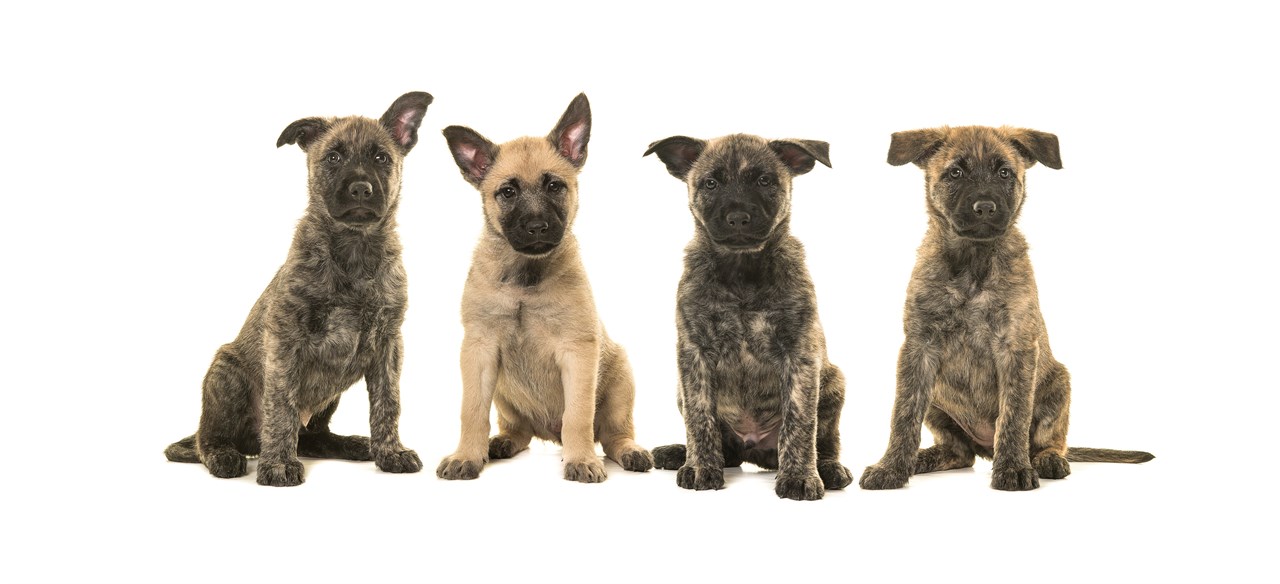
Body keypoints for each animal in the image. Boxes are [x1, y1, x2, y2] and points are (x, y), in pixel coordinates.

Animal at [165, 90, 430, 484]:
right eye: (333, 157)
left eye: (381, 157)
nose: (360, 189)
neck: (353, 249)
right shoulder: (285, 339)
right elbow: (281, 406)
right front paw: (277, 464)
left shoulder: (388, 344)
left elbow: (388, 402)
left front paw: (390, 452)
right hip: (225, 373)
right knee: (208, 438)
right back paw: (224, 455)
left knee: (312, 436)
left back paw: (351, 444)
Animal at [437, 92, 655, 484]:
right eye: (507, 192)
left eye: (555, 186)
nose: (537, 227)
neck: (525, 279)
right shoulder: (479, 351)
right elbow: (472, 412)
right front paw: (466, 456)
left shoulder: (578, 353)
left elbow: (579, 416)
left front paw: (581, 460)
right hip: (504, 392)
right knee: (518, 430)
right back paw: (500, 443)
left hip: (620, 383)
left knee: (612, 433)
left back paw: (628, 451)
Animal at [645, 133, 855, 502]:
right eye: (711, 183)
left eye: (765, 181)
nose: (738, 217)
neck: (741, 270)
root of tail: (753, 450)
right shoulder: (694, 353)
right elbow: (700, 419)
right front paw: (700, 468)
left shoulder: (800, 353)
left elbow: (799, 422)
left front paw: (799, 477)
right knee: (721, 447)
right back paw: (678, 453)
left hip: (833, 382)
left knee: (826, 442)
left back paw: (830, 469)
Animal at [860, 125, 1152, 489]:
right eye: (955, 173)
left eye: (1004, 173)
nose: (985, 207)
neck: (973, 260)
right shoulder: (918, 348)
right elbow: (904, 414)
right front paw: (890, 467)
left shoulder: (1016, 346)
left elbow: (1013, 415)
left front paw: (1013, 468)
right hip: (938, 401)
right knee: (959, 452)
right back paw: (922, 459)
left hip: (1059, 385)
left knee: (1049, 440)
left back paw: (1046, 460)